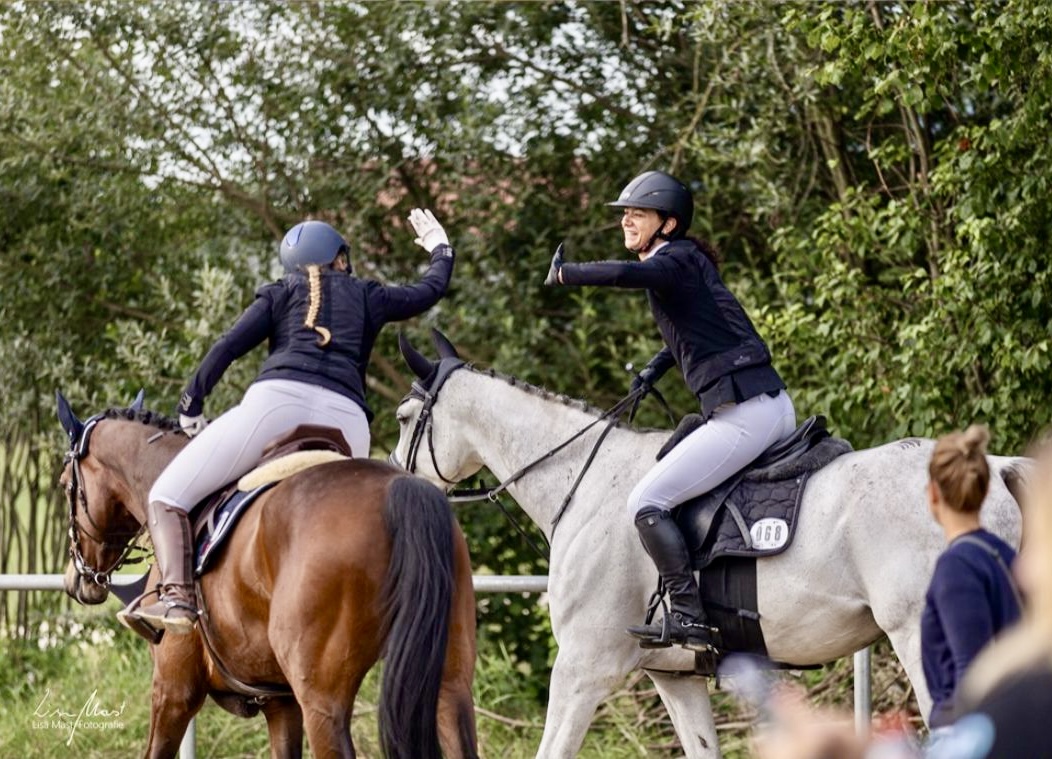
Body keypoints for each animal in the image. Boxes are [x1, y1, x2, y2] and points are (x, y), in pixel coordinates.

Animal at [56, 391, 478, 759]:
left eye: (64, 485)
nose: (76, 580)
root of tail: (397, 488)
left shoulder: (173, 690)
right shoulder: (281, 703)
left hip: (323, 703)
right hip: (450, 687)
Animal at [389, 331, 1026, 759]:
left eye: (402, 417)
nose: (394, 479)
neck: (584, 480)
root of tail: (995, 467)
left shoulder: (582, 668)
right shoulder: (676, 678)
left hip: (922, 636)